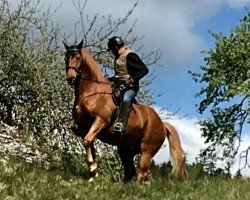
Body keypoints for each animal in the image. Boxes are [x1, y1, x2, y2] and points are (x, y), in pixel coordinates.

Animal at [63, 39, 187, 182]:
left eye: (78, 57)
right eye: (66, 57)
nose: (71, 78)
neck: (91, 92)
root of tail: (162, 124)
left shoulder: (100, 121)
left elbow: (87, 141)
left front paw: (93, 170)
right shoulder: (84, 128)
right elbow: (89, 145)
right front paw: (93, 175)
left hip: (147, 151)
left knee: (141, 174)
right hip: (125, 150)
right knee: (131, 172)